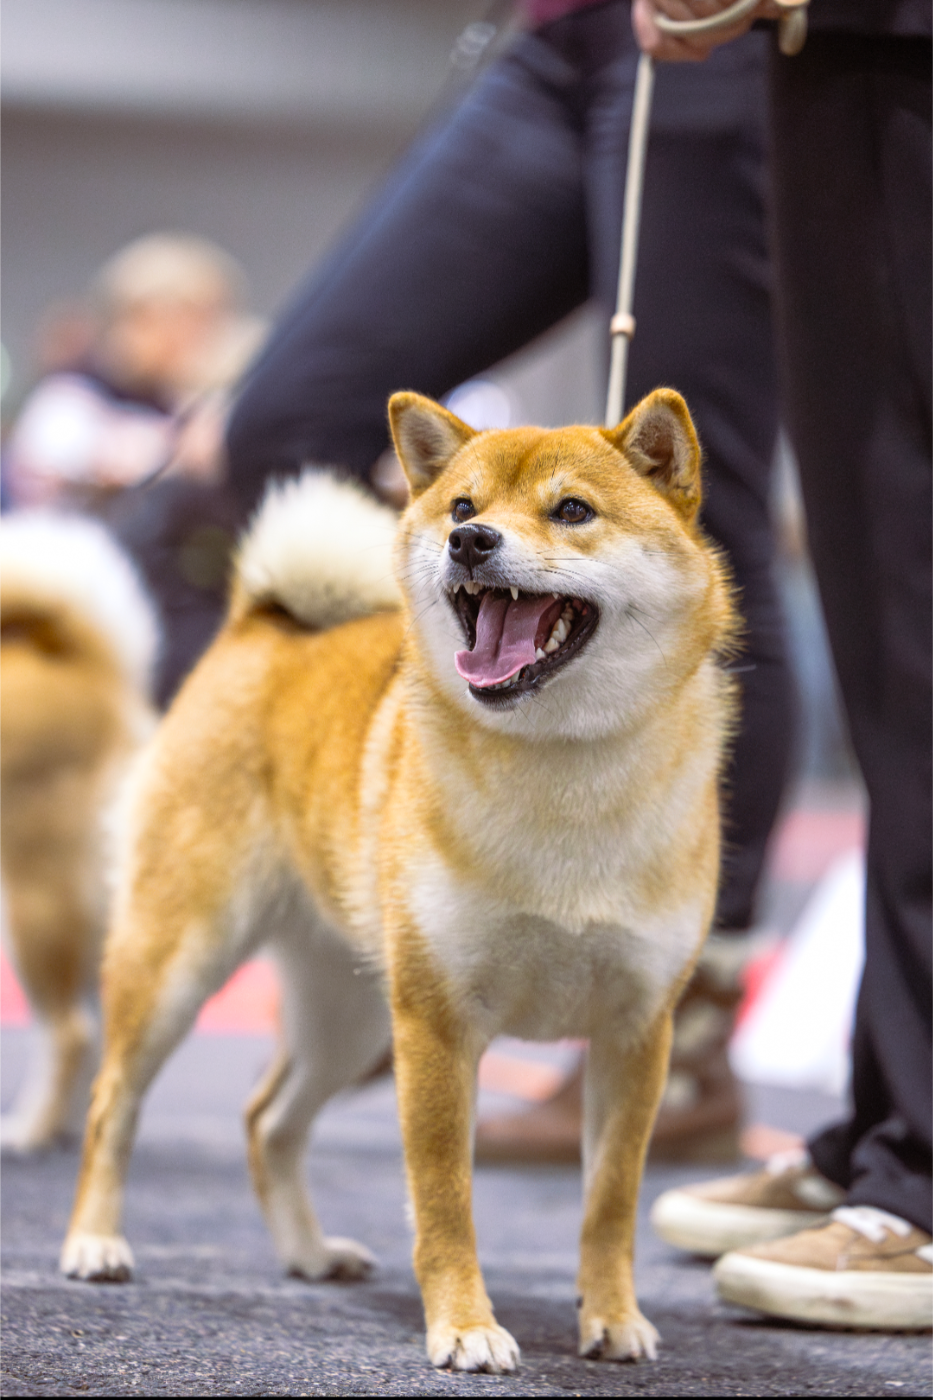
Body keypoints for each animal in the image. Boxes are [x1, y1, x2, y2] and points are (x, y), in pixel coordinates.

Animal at [61, 388, 736, 1373]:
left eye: (572, 510)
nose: (471, 543)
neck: (561, 769)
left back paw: (308, 1253)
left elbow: (609, 1202)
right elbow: (444, 1200)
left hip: (347, 1019)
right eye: (461, 507)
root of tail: (262, 622)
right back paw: (94, 1241)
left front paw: (611, 1317)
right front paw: (464, 1326)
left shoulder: (635, 1031)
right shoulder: (437, 1027)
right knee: (114, 1103)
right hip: (182, 963)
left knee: (269, 1120)